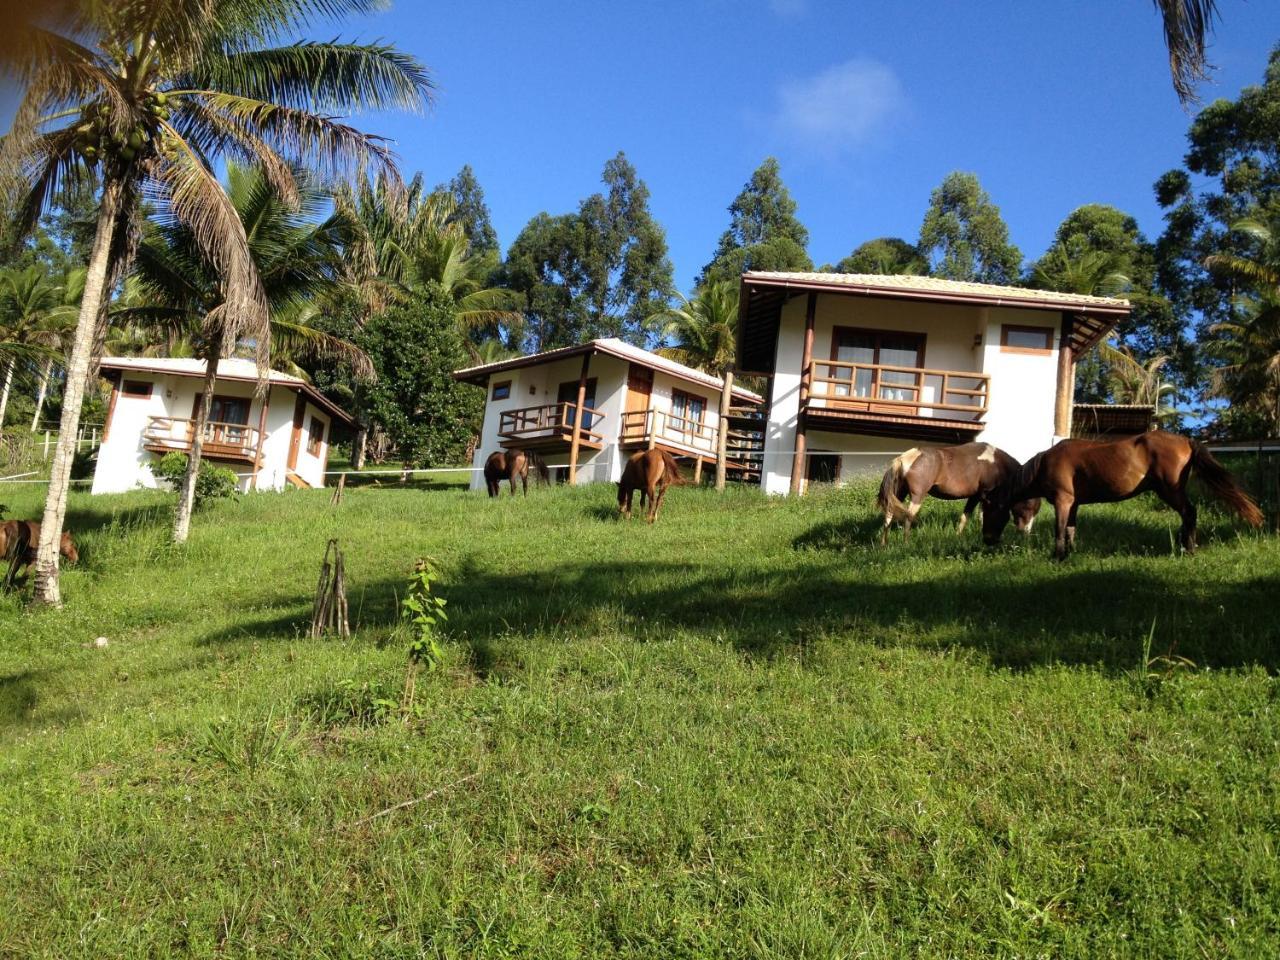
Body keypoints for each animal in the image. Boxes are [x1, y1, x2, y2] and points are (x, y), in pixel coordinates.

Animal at [983, 432, 1264, 560]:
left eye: (989, 510)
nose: (987, 540)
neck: (1045, 464)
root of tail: (1185, 440)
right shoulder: (1074, 504)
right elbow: (1071, 530)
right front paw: (1070, 555)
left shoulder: (1063, 501)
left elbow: (1060, 530)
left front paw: (1058, 555)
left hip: (1170, 491)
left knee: (1189, 513)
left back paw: (1189, 548)